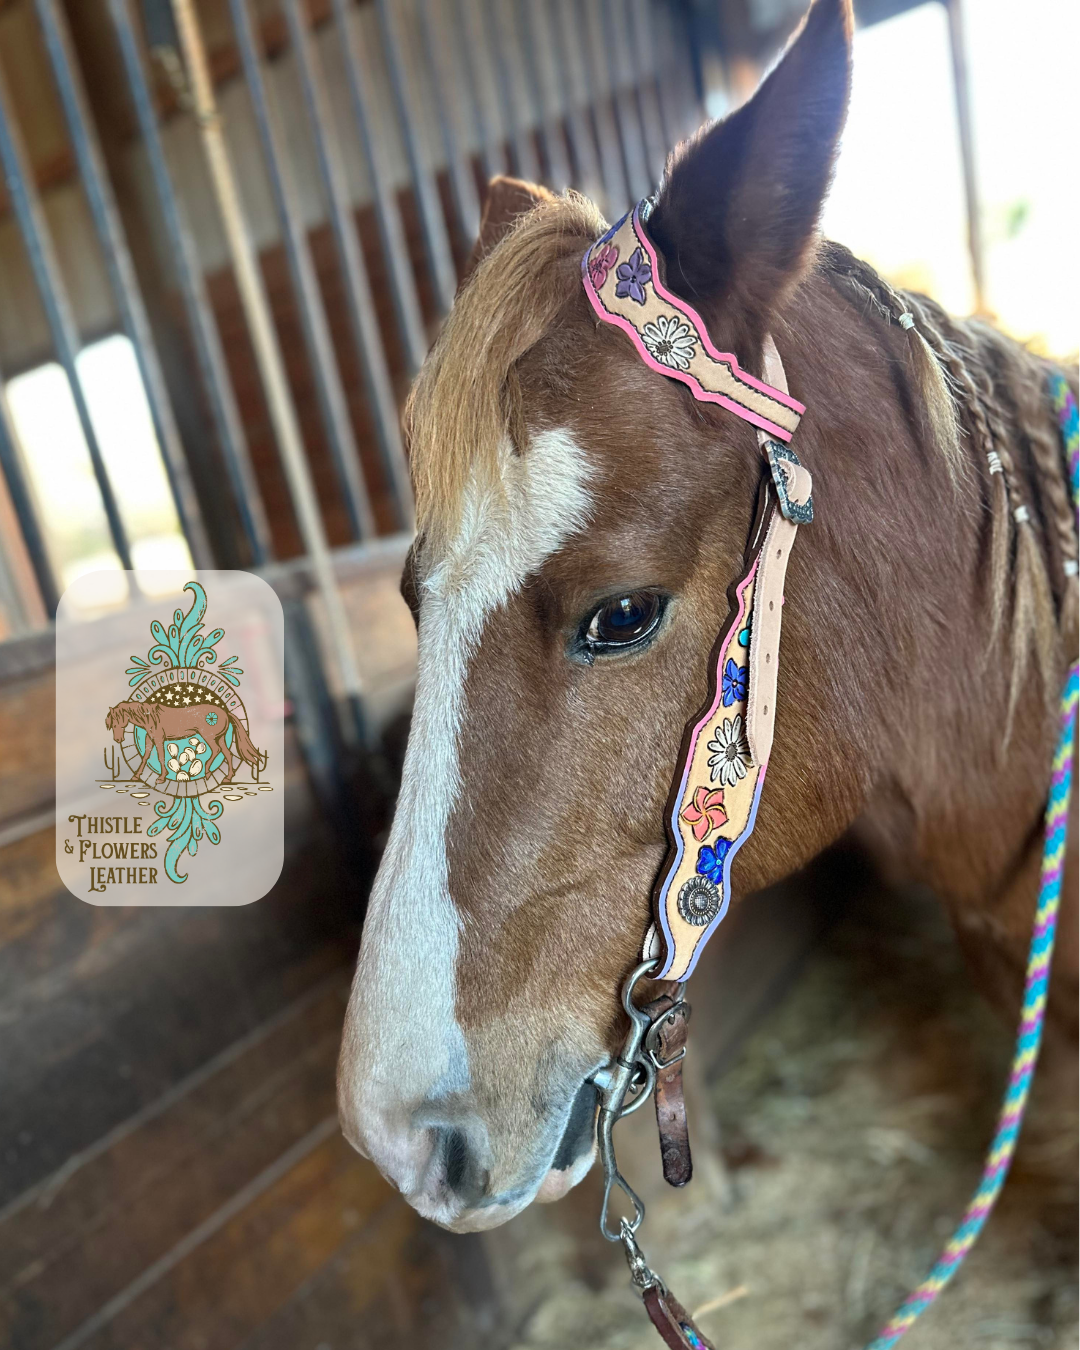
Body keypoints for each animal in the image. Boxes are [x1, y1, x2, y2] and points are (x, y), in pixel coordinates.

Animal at [104, 702, 265, 788]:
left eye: (117, 722)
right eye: (112, 724)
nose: (118, 739)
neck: (150, 718)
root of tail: (225, 712)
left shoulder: (159, 739)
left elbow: (161, 757)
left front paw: (161, 778)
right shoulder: (150, 739)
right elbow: (145, 757)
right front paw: (136, 776)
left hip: (209, 737)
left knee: (217, 750)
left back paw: (208, 772)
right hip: (219, 738)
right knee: (228, 753)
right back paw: (227, 778)